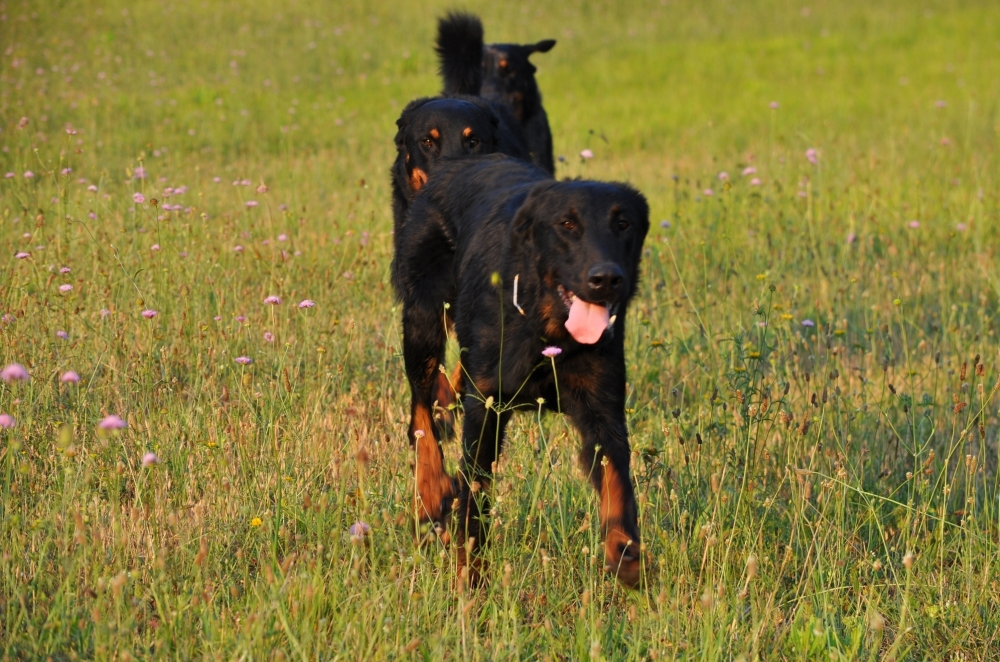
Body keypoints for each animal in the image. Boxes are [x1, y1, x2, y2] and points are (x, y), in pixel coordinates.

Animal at [390, 157, 648, 592]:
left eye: (623, 224)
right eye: (566, 224)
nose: (606, 279)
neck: (548, 328)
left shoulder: (603, 406)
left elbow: (617, 479)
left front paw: (625, 551)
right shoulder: (486, 412)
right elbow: (474, 500)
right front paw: (470, 580)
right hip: (424, 317)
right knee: (421, 407)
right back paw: (430, 492)